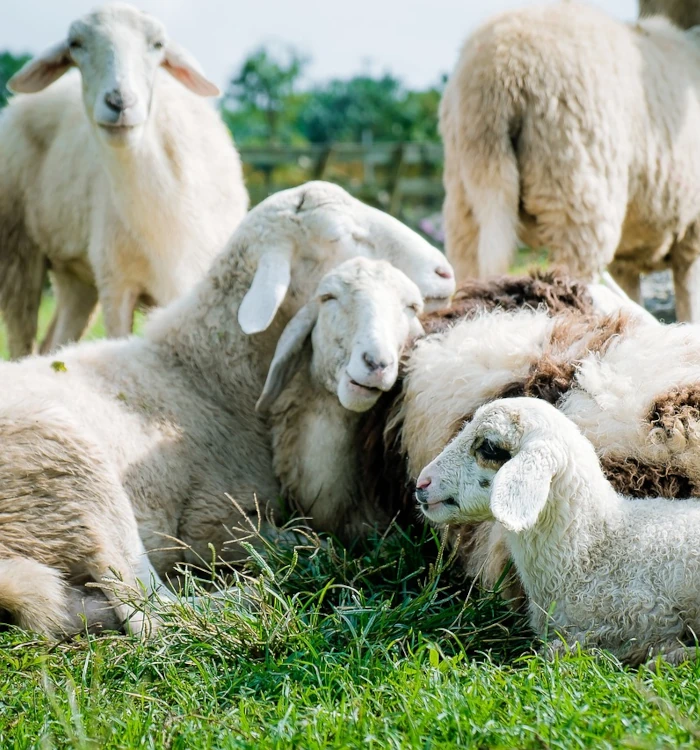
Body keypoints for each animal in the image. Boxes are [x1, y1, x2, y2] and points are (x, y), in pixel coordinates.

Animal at [0, 2, 249, 362]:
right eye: (75, 44)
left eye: (158, 44)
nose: (119, 102)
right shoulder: (117, 285)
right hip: (18, 251)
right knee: (23, 342)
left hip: (76, 275)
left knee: (55, 342)